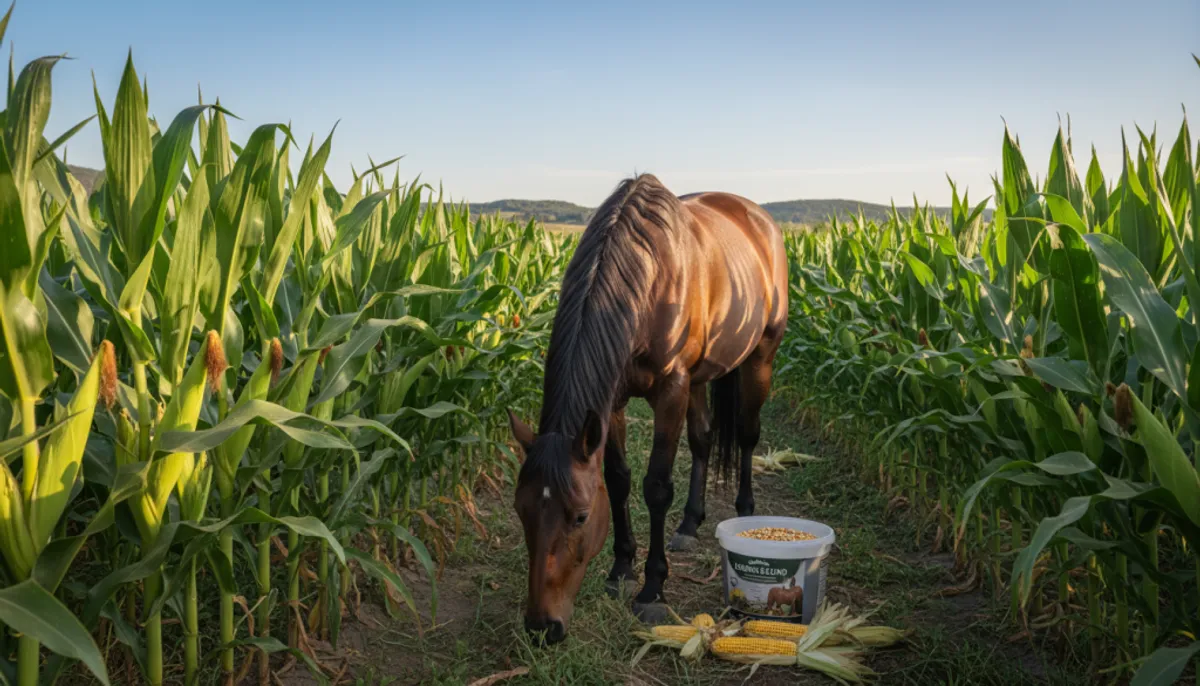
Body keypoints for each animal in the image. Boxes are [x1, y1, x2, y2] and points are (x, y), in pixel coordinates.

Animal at [508, 173, 789, 643]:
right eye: (520, 510)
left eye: (581, 517)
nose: (542, 626)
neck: (650, 277)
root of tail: (760, 219)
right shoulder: (612, 402)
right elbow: (618, 479)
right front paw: (621, 568)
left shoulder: (671, 391)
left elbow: (656, 486)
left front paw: (653, 588)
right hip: (700, 377)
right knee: (703, 439)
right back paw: (689, 524)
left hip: (760, 357)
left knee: (748, 436)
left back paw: (746, 511)